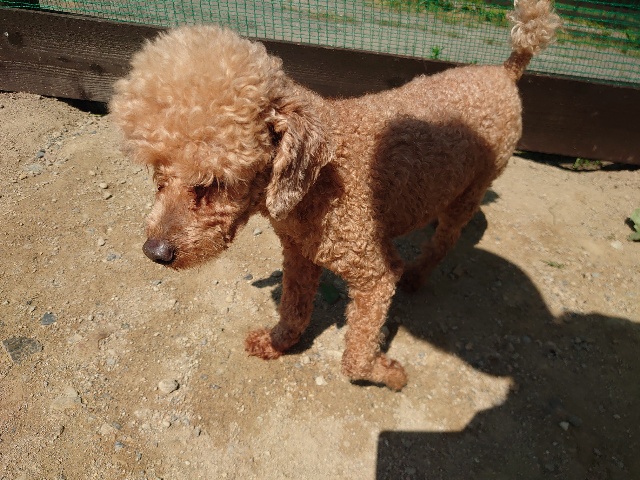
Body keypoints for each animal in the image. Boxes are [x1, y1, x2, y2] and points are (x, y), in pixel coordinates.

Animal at [109, 0, 561, 390]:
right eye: (158, 174)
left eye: (215, 181)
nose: (155, 252)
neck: (318, 184)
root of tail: (505, 70)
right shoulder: (299, 254)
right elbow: (294, 310)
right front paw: (276, 344)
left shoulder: (375, 275)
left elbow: (355, 360)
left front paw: (389, 373)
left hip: (475, 188)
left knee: (444, 240)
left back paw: (418, 276)